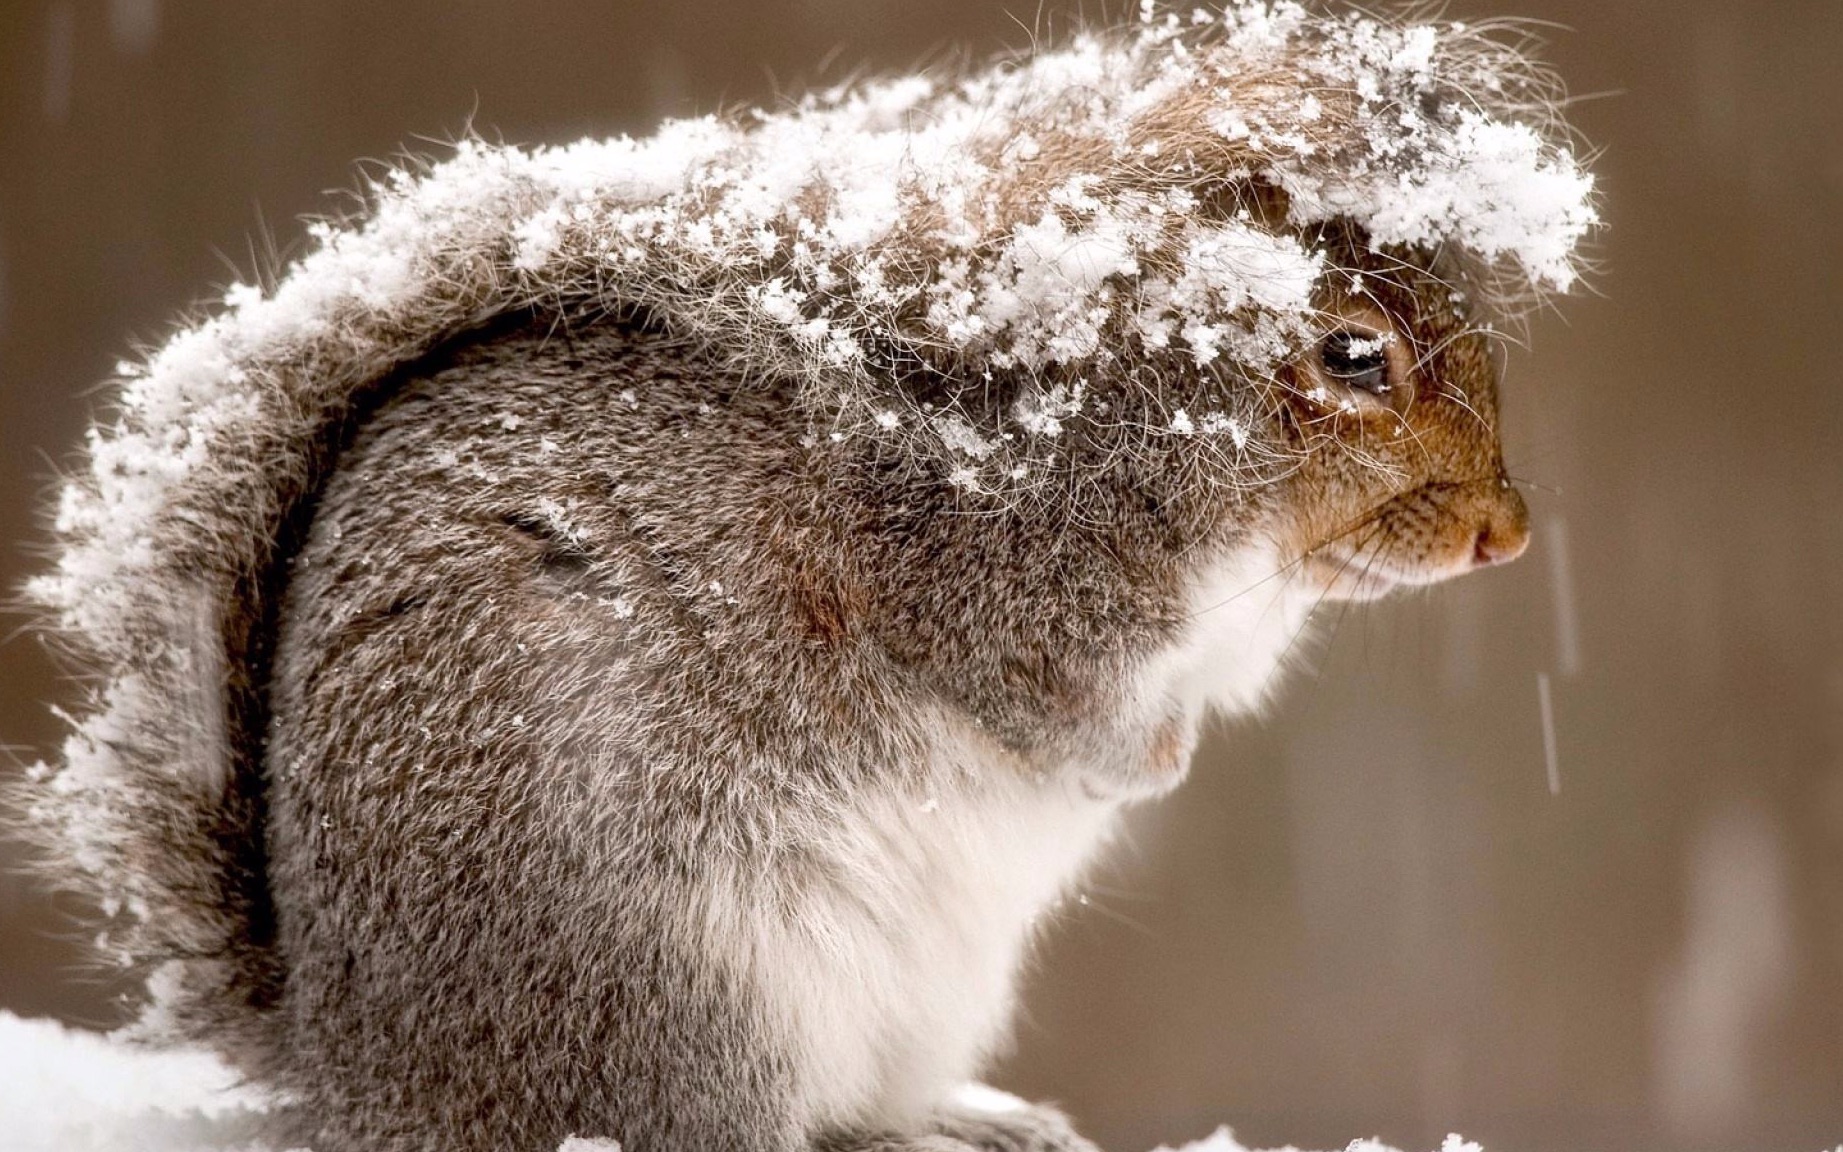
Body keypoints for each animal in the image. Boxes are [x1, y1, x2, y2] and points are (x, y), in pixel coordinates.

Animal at [14, 4, 1599, 1142]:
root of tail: (369, 1074)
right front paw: (1141, 765)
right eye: (1353, 355)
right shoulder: (986, 585)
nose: (1507, 534)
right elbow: (1046, 708)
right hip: (685, 981)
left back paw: (960, 1121)